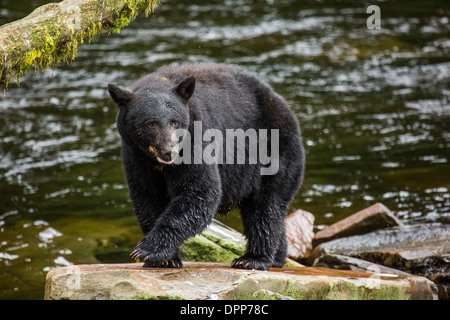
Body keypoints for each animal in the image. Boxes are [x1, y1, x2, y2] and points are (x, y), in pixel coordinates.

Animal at [107, 62, 304, 270]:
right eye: (151, 123)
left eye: (175, 121)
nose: (169, 152)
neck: (157, 161)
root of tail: (286, 107)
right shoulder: (135, 155)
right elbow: (147, 195)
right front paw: (166, 259)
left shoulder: (195, 138)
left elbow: (200, 190)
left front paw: (148, 250)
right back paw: (278, 258)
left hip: (274, 151)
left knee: (265, 207)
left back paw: (253, 258)